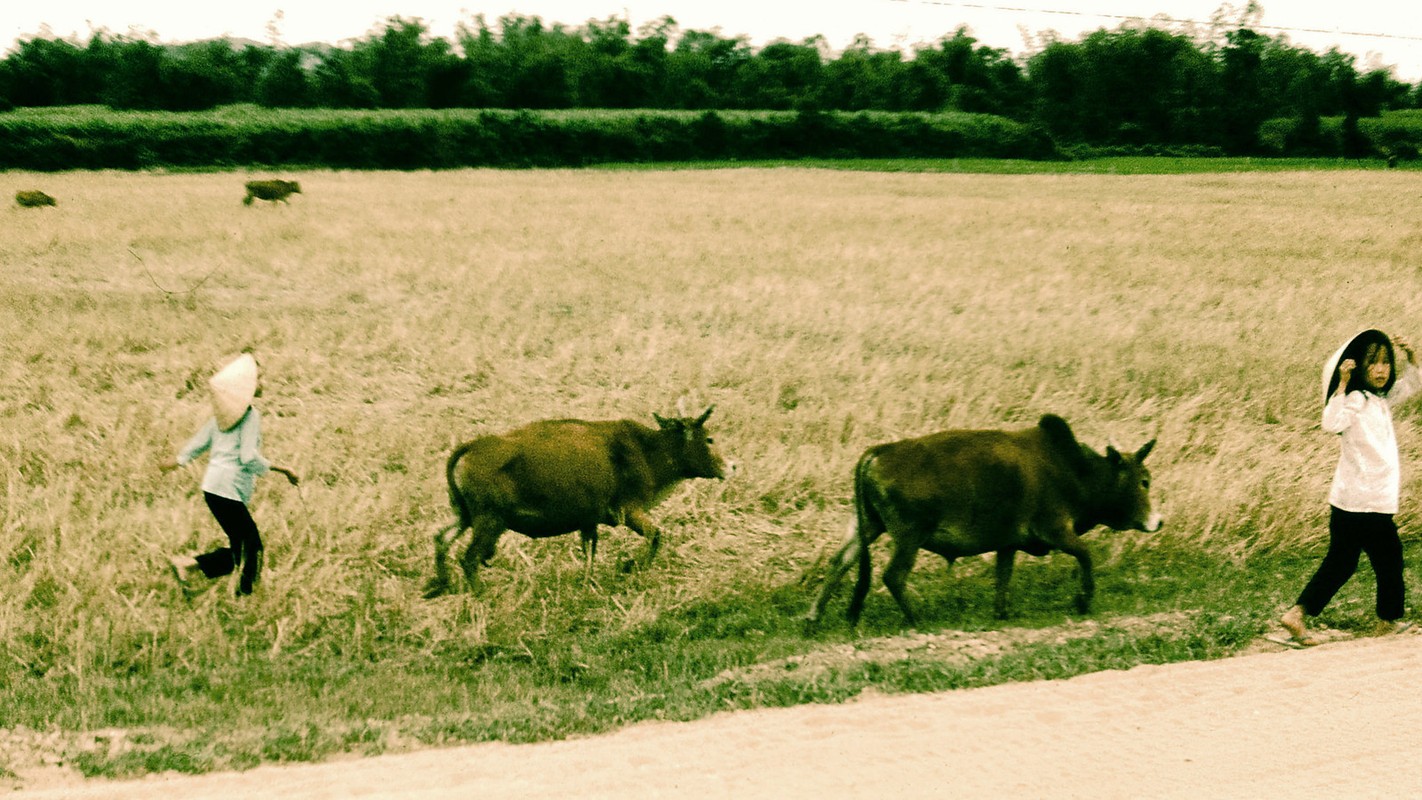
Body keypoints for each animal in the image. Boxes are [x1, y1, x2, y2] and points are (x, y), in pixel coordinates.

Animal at [420, 409, 728, 596]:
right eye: (709, 439)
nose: (731, 466)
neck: (647, 447)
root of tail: (470, 447)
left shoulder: (589, 522)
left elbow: (589, 550)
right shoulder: (628, 511)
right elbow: (656, 536)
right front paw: (632, 567)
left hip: (465, 517)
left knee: (441, 539)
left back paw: (440, 585)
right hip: (490, 522)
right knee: (469, 557)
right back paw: (481, 593)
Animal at [807, 417, 1160, 628]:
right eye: (1144, 481)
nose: (1157, 521)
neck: (1075, 469)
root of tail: (878, 452)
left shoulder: (1009, 543)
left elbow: (1003, 575)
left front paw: (1001, 612)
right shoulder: (1056, 529)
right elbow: (1086, 555)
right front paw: (1083, 600)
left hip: (868, 525)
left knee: (840, 561)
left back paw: (813, 617)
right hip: (910, 535)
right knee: (893, 575)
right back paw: (918, 618)